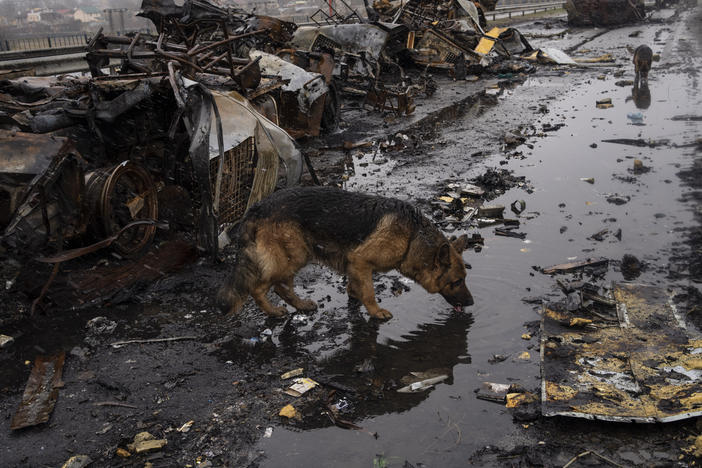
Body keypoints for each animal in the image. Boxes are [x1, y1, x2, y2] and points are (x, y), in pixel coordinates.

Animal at [217, 188, 476, 320]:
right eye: (456, 282)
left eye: (464, 279)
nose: (472, 303)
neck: (413, 236)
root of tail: (256, 208)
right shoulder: (361, 260)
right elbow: (369, 292)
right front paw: (375, 312)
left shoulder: (355, 264)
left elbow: (355, 285)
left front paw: (354, 295)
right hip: (293, 256)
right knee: (259, 287)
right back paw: (273, 311)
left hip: (296, 255)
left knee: (281, 286)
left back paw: (300, 306)